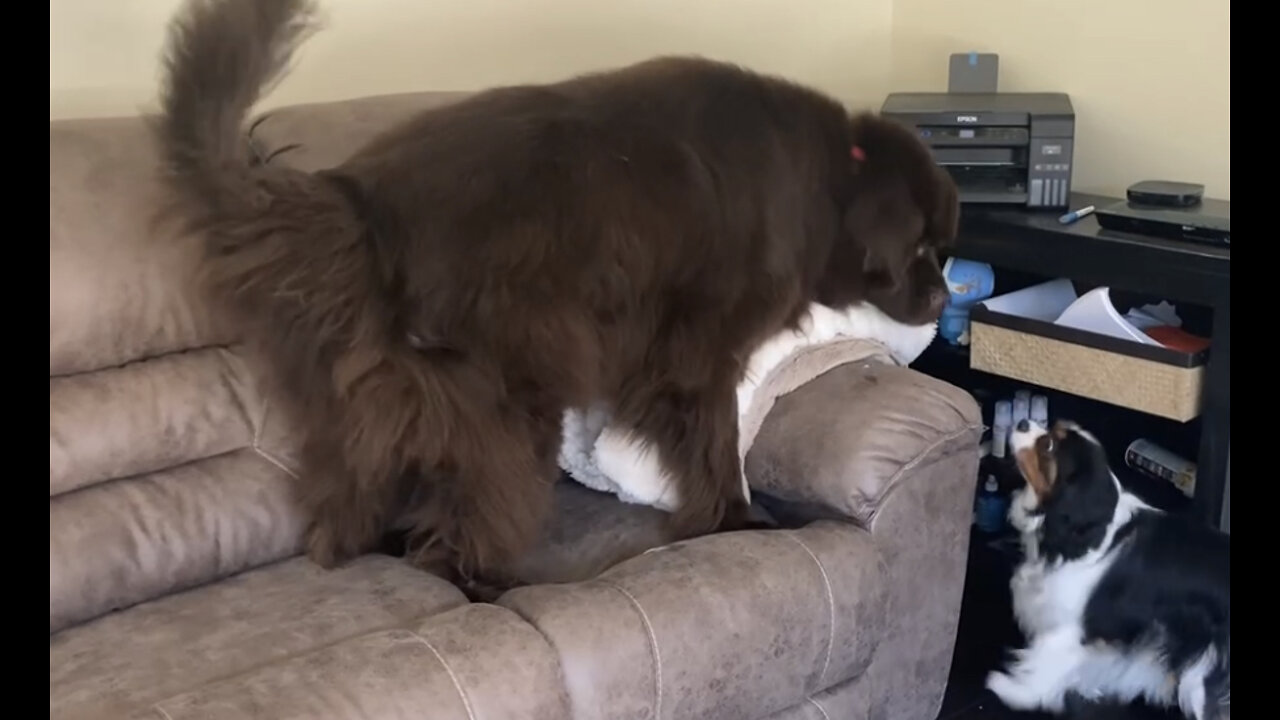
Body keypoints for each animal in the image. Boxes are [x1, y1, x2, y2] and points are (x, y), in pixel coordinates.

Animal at [154, 0, 957, 594]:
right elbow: (715, 447)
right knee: (456, 534)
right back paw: (485, 588)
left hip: (365, 402)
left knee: (342, 513)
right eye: (922, 250)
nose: (945, 300)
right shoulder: (695, 358)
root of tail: (361, 205)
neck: (831, 181)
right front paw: (733, 521)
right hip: (506, 409)